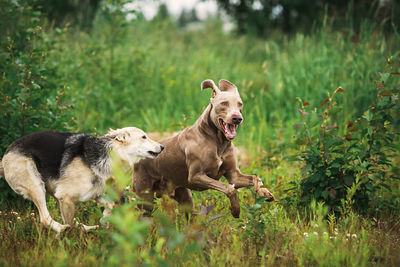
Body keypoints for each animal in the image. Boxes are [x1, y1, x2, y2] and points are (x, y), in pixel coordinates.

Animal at [0, 127, 164, 232]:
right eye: (144, 137)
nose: (162, 147)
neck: (111, 155)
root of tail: (6, 154)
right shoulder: (65, 197)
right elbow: (70, 227)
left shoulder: (95, 194)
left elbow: (110, 205)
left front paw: (105, 220)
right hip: (37, 187)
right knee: (46, 219)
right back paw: (63, 229)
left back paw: (89, 228)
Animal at [133, 79, 274, 218]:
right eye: (224, 103)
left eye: (240, 104)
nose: (238, 118)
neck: (218, 142)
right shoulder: (196, 176)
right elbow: (229, 188)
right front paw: (235, 209)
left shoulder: (234, 175)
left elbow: (255, 178)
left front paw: (264, 192)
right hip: (145, 200)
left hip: (185, 198)